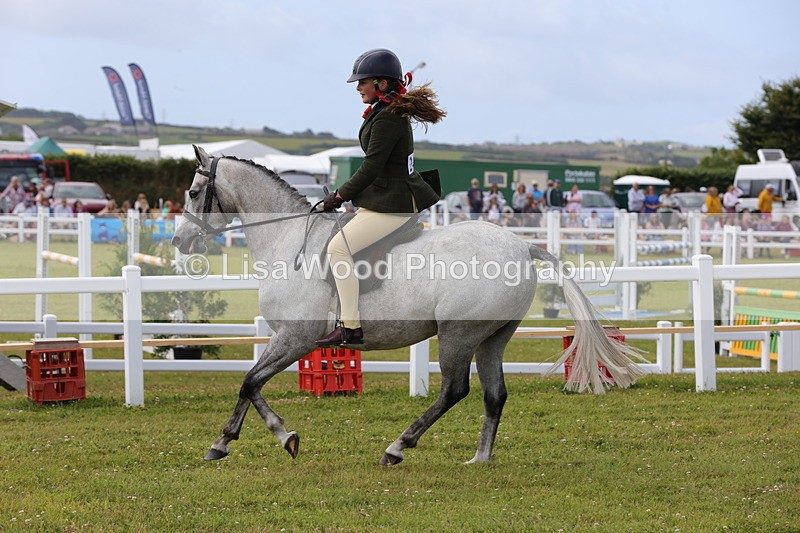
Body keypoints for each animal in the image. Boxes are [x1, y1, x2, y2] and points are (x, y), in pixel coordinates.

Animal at [171, 145, 643, 465]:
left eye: (193, 192)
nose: (178, 240)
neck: (289, 240)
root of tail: (522, 246)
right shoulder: (291, 339)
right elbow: (251, 383)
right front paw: (238, 441)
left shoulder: (297, 337)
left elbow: (250, 382)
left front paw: (262, 438)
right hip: (493, 337)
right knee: (494, 395)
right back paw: (480, 458)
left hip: (458, 333)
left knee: (455, 390)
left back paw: (398, 446)